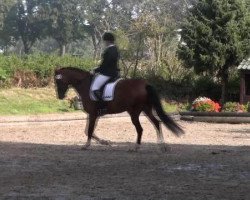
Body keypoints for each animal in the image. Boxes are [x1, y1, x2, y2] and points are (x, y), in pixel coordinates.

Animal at [54, 66, 184, 151]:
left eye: (58, 80)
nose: (60, 96)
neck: (85, 85)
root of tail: (145, 84)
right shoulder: (94, 114)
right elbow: (88, 130)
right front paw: (104, 142)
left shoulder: (92, 114)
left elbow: (89, 130)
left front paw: (86, 145)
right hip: (146, 109)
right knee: (157, 123)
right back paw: (162, 145)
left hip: (134, 112)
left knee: (140, 128)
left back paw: (136, 147)